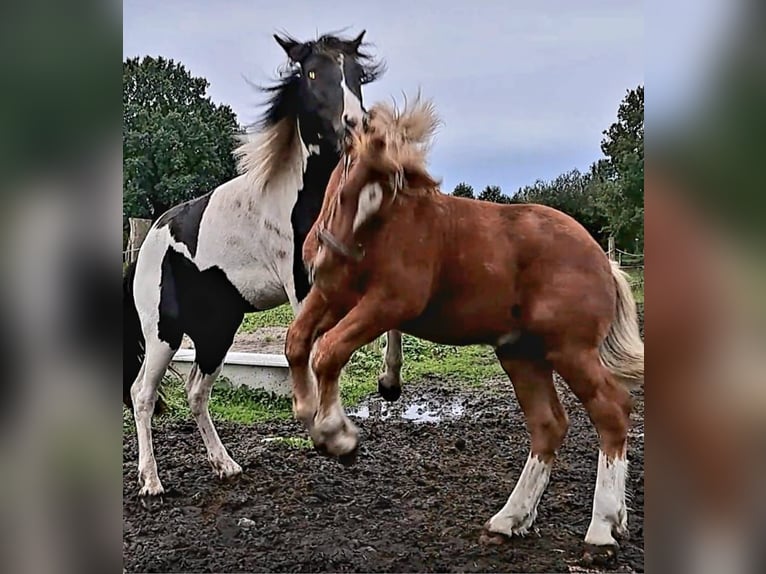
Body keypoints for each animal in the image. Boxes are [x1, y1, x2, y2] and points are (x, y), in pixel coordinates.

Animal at [122, 31, 403, 499]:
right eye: (312, 74)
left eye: (356, 74)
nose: (354, 124)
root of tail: (148, 243)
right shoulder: (306, 287)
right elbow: (320, 352)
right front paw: (332, 434)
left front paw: (390, 384)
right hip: (163, 333)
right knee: (142, 394)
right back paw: (151, 482)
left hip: (216, 331)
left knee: (196, 392)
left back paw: (226, 465)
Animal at [284, 95, 644, 554]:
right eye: (347, 160)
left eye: (387, 182)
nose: (325, 257)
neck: (376, 231)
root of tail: (603, 260)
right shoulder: (334, 295)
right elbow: (297, 342)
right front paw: (310, 414)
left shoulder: (388, 303)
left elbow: (328, 351)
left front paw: (337, 436)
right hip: (521, 354)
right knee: (548, 425)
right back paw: (510, 519)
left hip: (571, 351)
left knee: (611, 410)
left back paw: (602, 527)